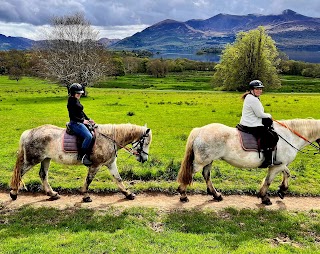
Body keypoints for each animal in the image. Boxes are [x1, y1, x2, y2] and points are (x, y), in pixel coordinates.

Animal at [8, 123, 151, 202]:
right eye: (146, 142)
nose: (144, 159)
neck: (109, 138)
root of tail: (28, 132)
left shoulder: (110, 164)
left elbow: (118, 179)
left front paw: (128, 194)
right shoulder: (95, 165)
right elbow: (89, 180)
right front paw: (85, 195)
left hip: (46, 159)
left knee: (43, 175)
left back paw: (52, 194)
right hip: (32, 160)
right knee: (20, 173)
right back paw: (13, 193)